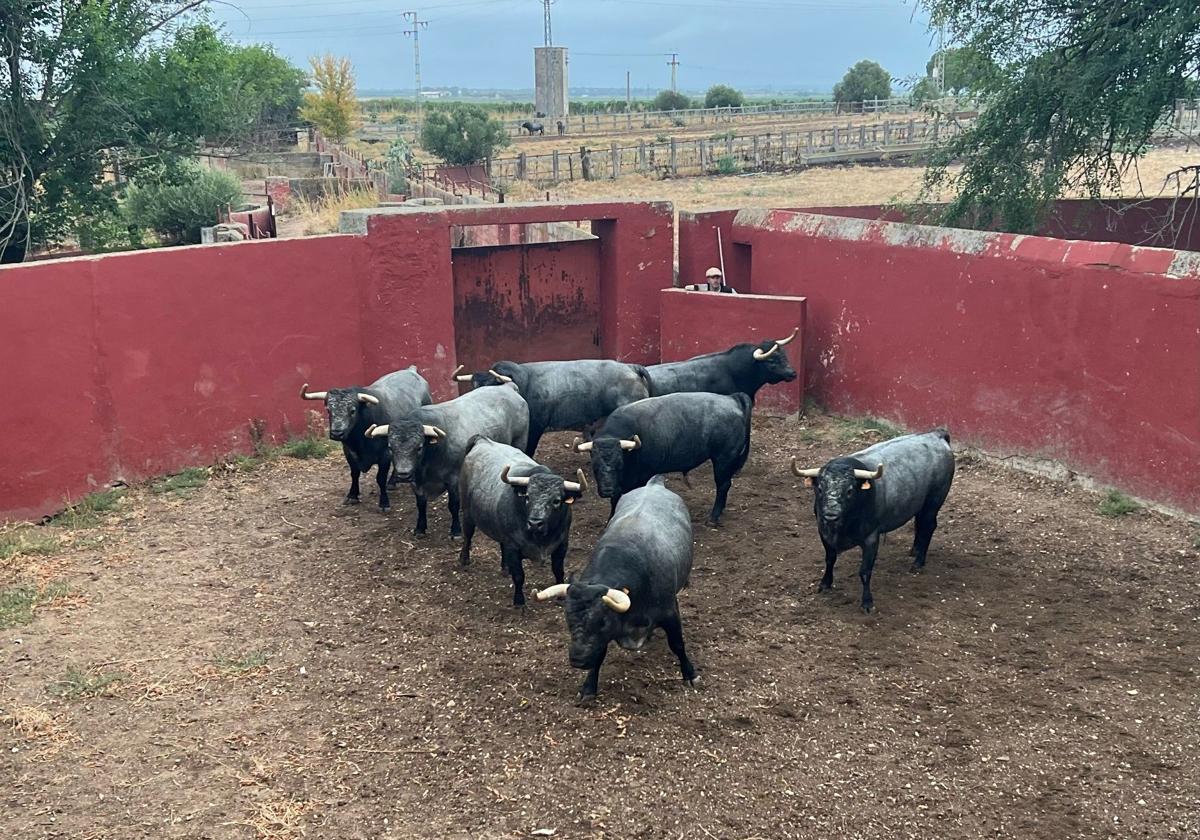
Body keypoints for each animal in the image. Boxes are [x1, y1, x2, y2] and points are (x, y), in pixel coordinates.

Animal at [298, 367, 432, 511]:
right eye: (329, 410)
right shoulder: (348, 452)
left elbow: (380, 478)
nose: (337, 433)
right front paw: (352, 495)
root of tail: (411, 370)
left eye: (352, 410)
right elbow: (354, 473)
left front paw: (384, 503)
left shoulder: (385, 454)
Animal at [456, 436, 588, 607]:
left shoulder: (562, 544)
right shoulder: (514, 548)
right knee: (468, 535)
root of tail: (482, 440)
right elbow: (519, 576)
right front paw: (519, 601)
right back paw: (464, 559)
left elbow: (558, 570)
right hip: (467, 513)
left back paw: (505, 567)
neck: (541, 539)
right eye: (527, 497)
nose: (535, 523)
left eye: (557, 501)